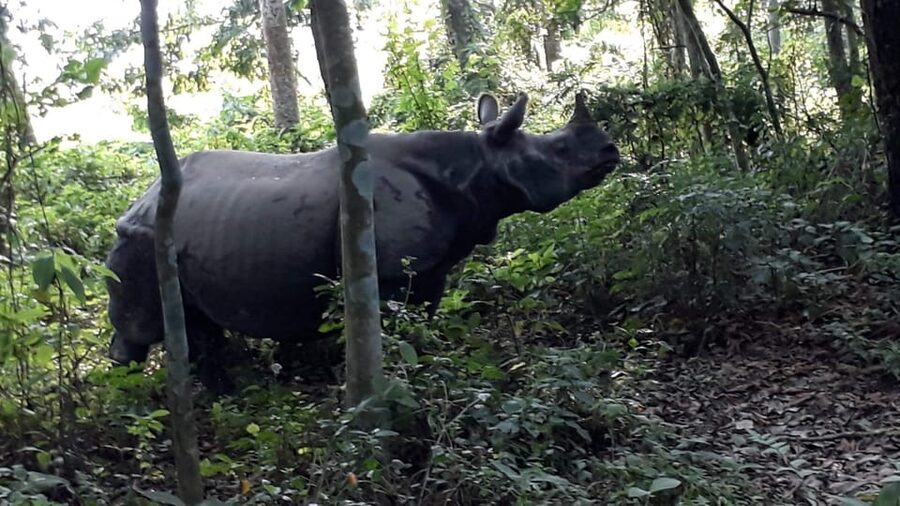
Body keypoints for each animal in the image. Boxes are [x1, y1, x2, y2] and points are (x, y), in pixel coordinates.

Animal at [106, 92, 620, 388]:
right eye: (559, 150)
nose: (611, 150)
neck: (477, 163)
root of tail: (139, 199)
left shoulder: (430, 270)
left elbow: (421, 324)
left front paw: (424, 369)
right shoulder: (388, 272)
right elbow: (392, 331)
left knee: (199, 326)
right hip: (139, 241)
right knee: (140, 327)